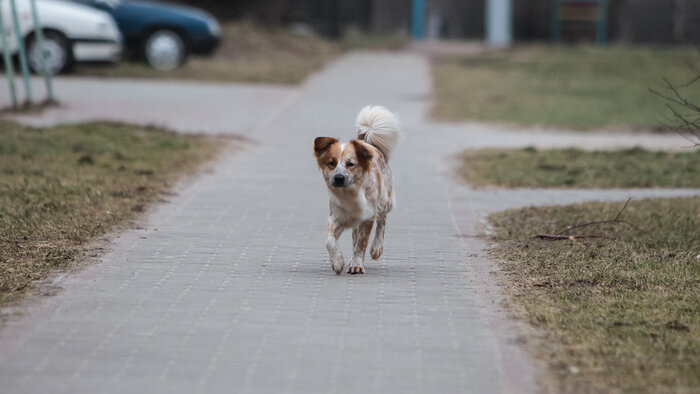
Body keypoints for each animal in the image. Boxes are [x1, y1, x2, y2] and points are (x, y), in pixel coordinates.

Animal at [312, 106, 400, 276]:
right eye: (331, 163)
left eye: (351, 164)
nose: (339, 178)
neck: (350, 193)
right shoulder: (336, 217)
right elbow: (330, 241)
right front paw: (338, 262)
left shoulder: (369, 216)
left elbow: (362, 242)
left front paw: (357, 265)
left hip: (385, 200)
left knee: (382, 221)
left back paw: (376, 247)